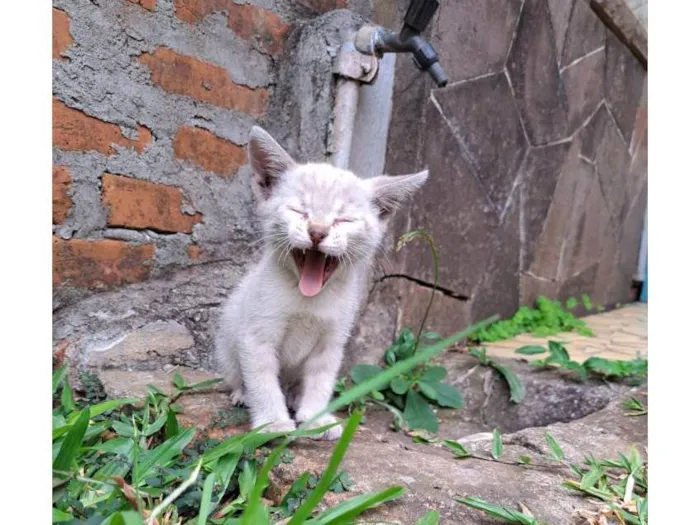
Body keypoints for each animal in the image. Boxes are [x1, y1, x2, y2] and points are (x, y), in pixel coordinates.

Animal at [216, 126, 430, 438]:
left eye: (344, 219)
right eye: (299, 211)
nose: (317, 231)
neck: (309, 299)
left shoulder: (332, 341)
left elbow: (320, 381)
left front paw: (316, 418)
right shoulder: (257, 336)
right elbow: (262, 379)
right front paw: (273, 422)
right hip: (227, 343)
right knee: (237, 374)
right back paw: (243, 394)